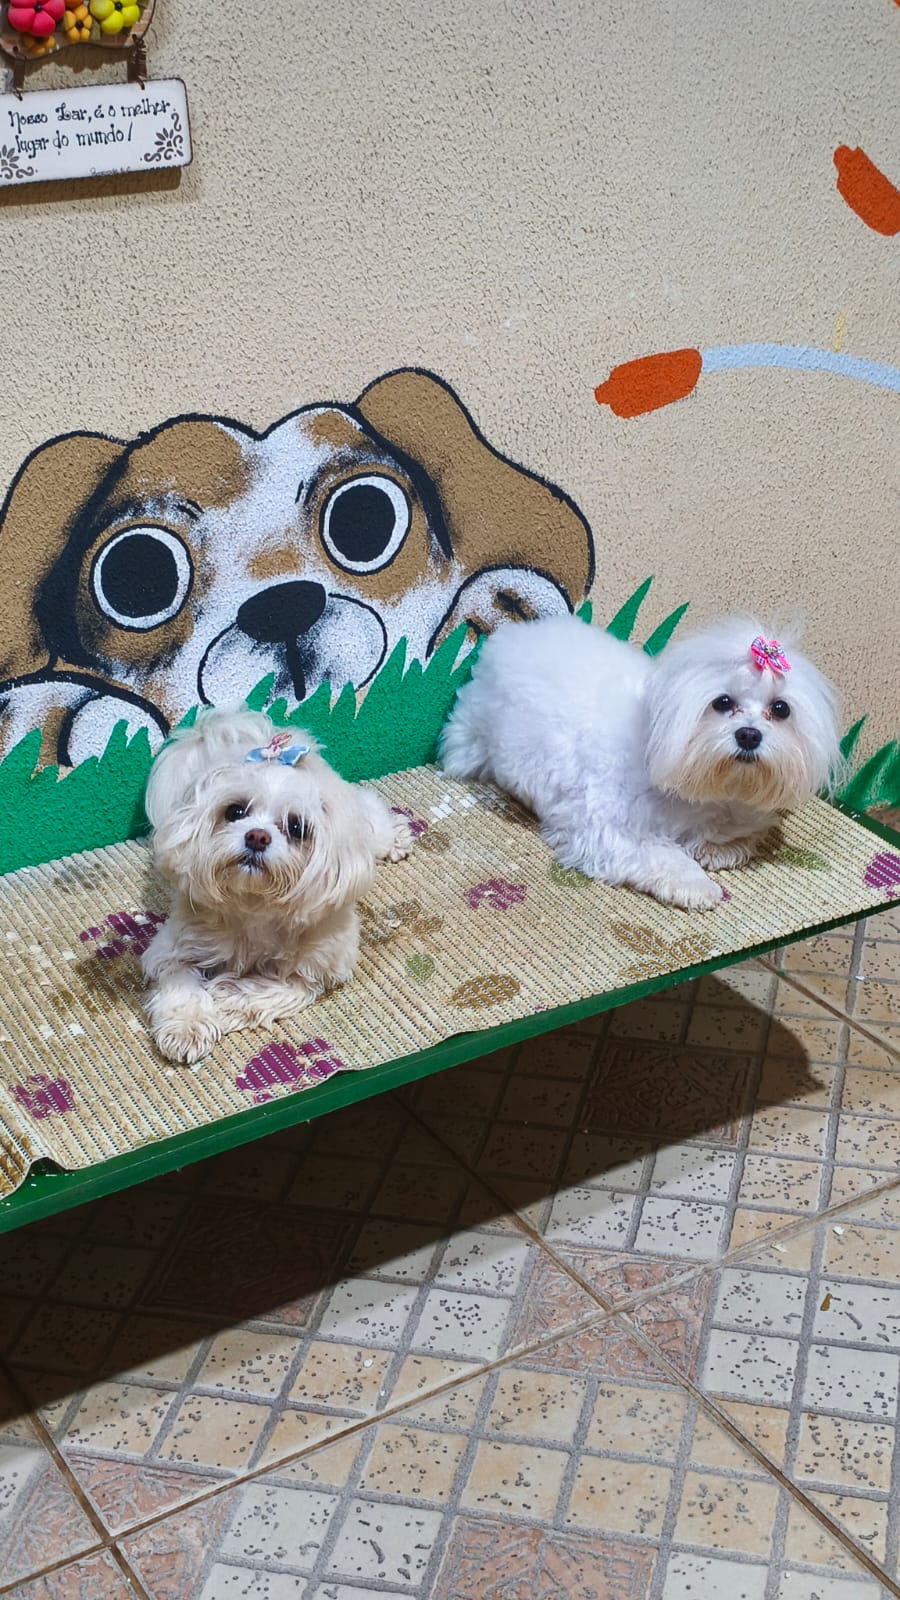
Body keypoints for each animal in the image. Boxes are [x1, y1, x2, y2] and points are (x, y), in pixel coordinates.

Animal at [140, 707, 413, 1064]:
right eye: (235, 811)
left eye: (296, 827)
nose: (257, 836)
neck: (255, 905)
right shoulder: (171, 949)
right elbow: (181, 984)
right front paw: (188, 1027)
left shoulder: (317, 970)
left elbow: (272, 990)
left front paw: (224, 998)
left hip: (368, 828)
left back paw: (398, 837)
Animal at [440, 614, 841, 911]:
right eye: (723, 703)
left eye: (780, 709)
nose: (748, 735)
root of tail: (508, 636)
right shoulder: (605, 831)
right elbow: (660, 856)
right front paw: (696, 883)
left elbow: (741, 834)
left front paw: (716, 850)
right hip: (472, 739)